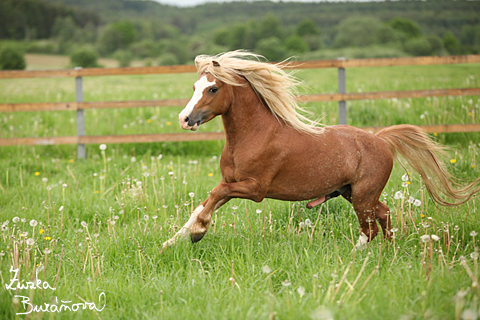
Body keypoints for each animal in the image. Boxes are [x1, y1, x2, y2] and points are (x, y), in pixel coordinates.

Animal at [161, 50, 480, 250]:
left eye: (213, 89)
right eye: (194, 86)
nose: (184, 119)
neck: (254, 136)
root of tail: (381, 140)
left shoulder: (255, 189)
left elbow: (215, 195)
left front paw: (198, 233)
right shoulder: (233, 182)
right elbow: (204, 202)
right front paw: (171, 241)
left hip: (362, 195)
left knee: (370, 229)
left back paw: (354, 257)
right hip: (354, 193)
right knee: (384, 214)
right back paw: (391, 250)